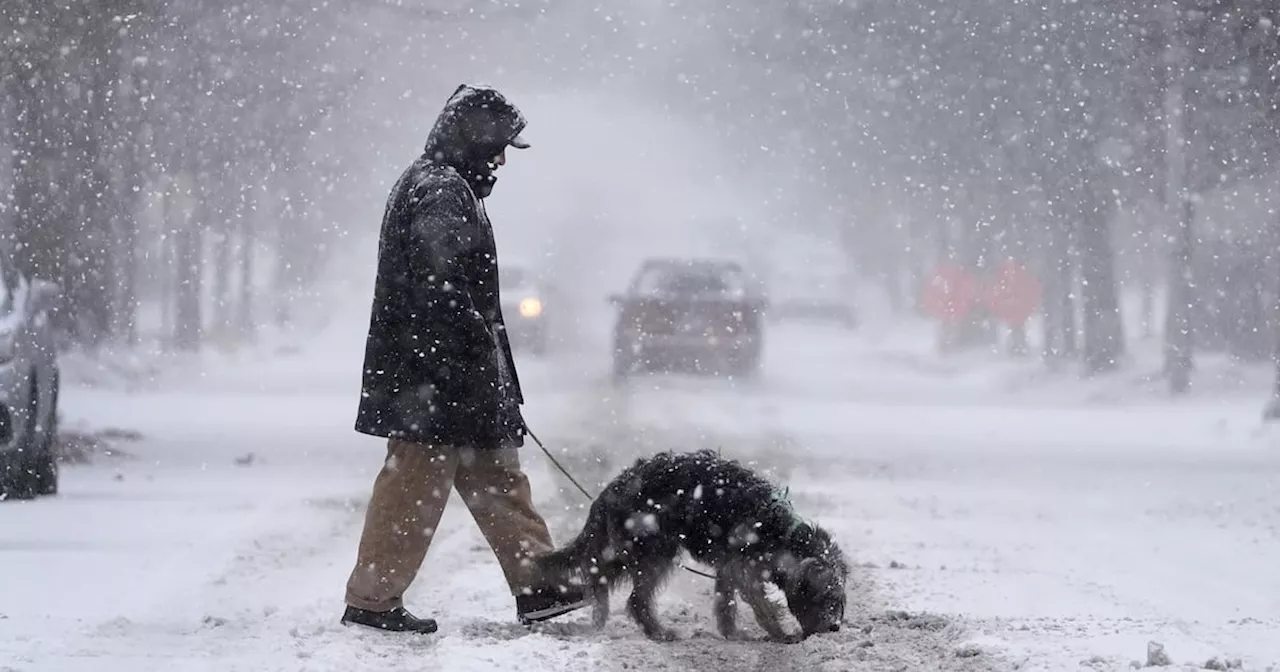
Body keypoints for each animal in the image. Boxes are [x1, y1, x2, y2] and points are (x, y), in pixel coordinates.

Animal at [532, 448, 849, 642]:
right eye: (824, 597)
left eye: (839, 600)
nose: (834, 626)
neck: (782, 534)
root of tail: (612, 488)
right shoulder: (745, 568)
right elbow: (762, 606)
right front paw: (781, 634)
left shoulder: (729, 566)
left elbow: (725, 601)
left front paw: (731, 633)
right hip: (653, 550)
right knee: (634, 598)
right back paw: (658, 632)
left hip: (632, 548)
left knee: (600, 575)